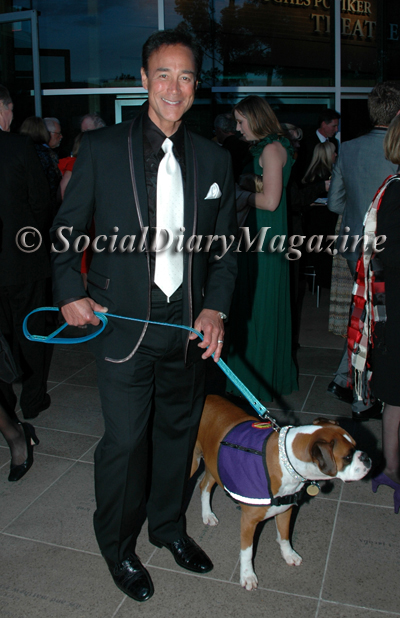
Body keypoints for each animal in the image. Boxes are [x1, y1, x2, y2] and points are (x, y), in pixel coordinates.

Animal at [191, 392, 372, 588]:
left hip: (214, 464)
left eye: (356, 445)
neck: (286, 459)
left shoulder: (286, 510)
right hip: (194, 464)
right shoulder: (248, 521)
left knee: (204, 485)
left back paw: (207, 515)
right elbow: (247, 551)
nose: (366, 457)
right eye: (347, 456)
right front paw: (247, 575)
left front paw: (289, 555)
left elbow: (285, 536)